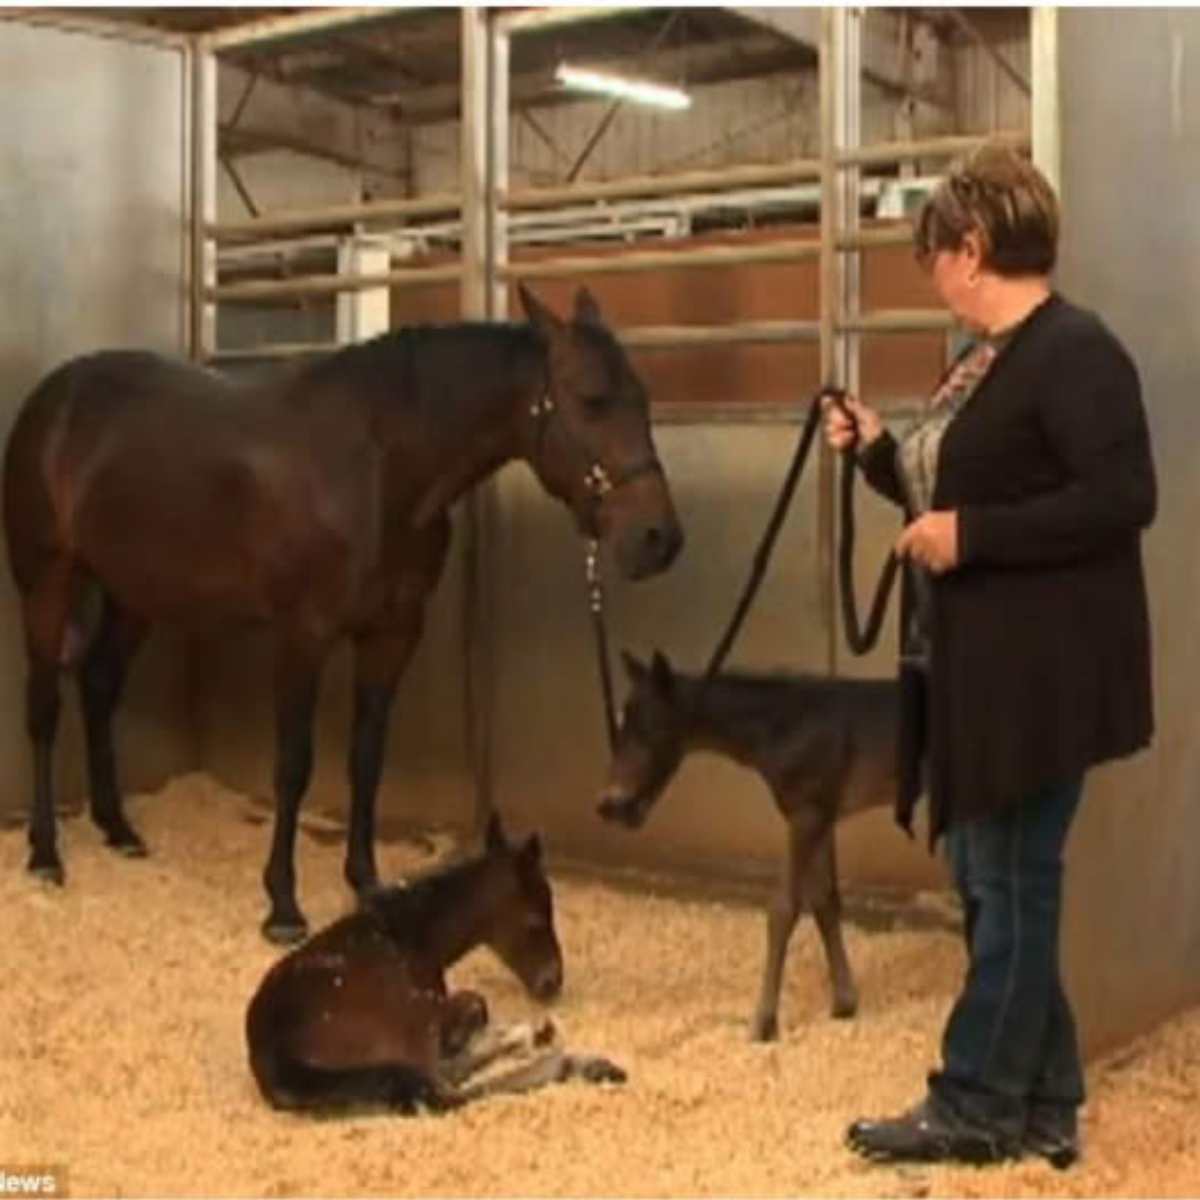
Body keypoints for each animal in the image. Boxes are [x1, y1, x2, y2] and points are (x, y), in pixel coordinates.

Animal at [2, 285, 686, 940]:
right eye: (592, 399)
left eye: (643, 398)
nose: (660, 539)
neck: (381, 468)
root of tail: (54, 399)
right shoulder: (304, 635)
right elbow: (293, 765)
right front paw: (282, 904)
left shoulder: (391, 634)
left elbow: (366, 759)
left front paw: (366, 882)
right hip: (48, 582)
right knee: (45, 708)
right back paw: (45, 854)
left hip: (133, 593)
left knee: (98, 685)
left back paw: (118, 830)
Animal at [244, 811, 628, 1108]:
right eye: (536, 920)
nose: (553, 981)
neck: (406, 934)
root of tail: (278, 1058)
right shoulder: (433, 1007)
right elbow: (475, 1004)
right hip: (413, 1026)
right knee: (447, 1087)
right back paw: (575, 1061)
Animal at [595, 648, 897, 1041]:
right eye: (620, 722)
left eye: (653, 728)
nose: (610, 805)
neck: (786, 723)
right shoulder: (821, 816)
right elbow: (825, 901)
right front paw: (844, 1003)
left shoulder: (805, 814)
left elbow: (783, 910)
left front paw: (762, 1023)